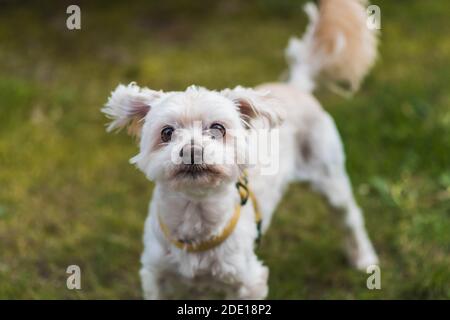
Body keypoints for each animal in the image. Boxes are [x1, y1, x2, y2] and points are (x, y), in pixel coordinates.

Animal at [103, 0, 380, 300]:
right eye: (167, 133)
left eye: (218, 129)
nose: (192, 150)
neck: (195, 216)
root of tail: (295, 86)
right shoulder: (156, 277)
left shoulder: (248, 282)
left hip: (330, 176)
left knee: (351, 217)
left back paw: (363, 258)